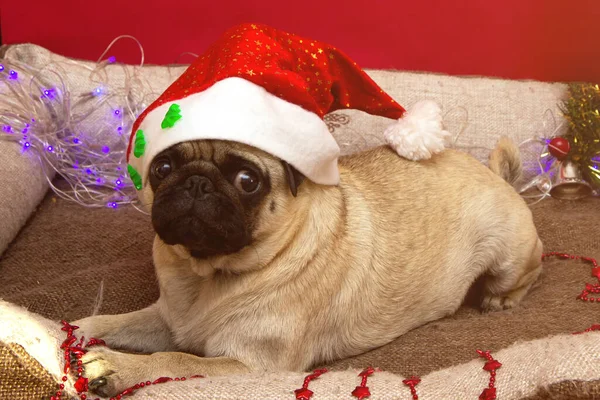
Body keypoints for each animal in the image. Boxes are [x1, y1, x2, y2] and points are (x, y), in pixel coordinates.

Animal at [72, 138, 540, 396]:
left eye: (248, 181)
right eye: (163, 168)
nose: (197, 181)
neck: (208, 277)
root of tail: (494, 175)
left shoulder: (251, 365)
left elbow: (175, 360)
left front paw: (117, 366)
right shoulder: (168, 318)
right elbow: (116, 321)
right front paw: (71, 330)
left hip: (508, 254)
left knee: (530, 272)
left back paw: (500, 299)